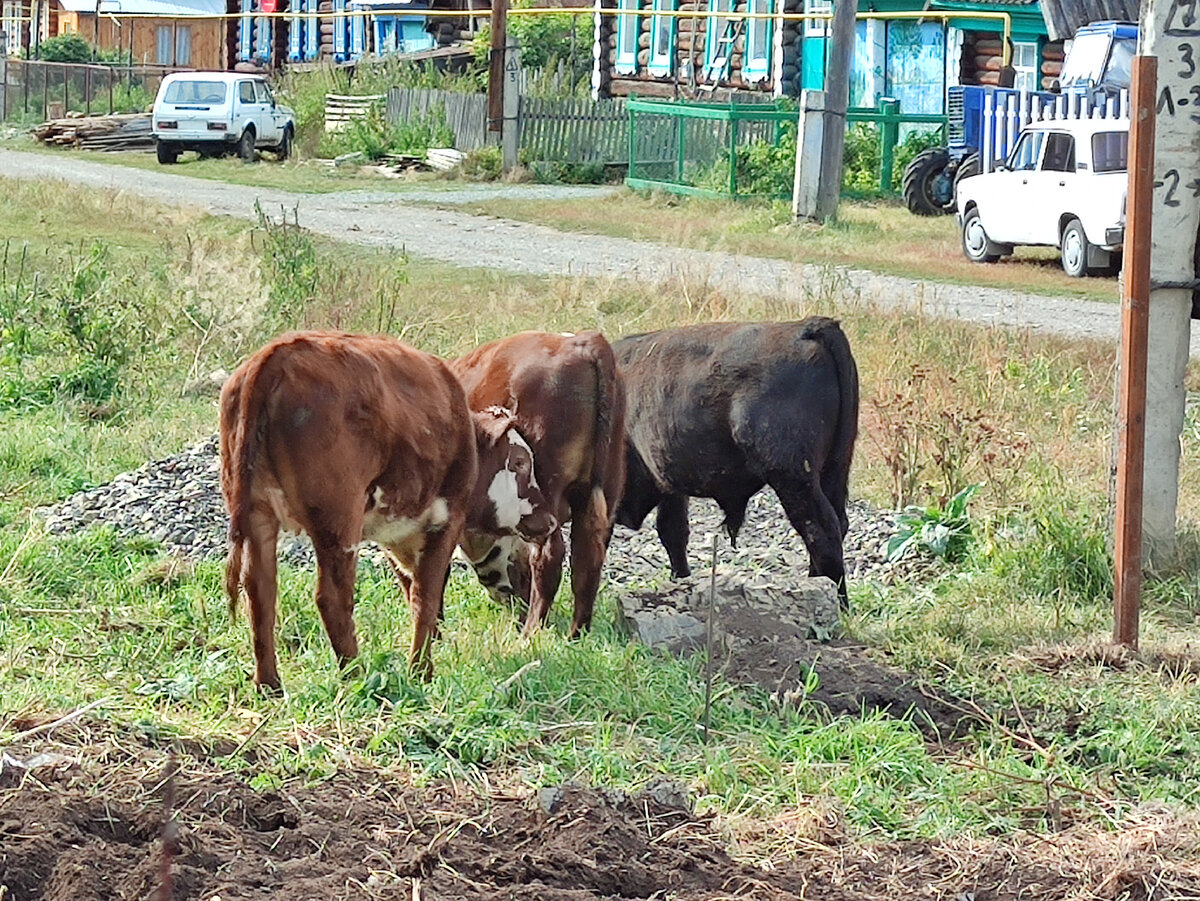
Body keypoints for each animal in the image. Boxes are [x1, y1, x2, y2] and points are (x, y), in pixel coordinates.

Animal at [218, 331, 554, 691]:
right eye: (519, 462)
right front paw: (421, 671)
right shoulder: (446, 520)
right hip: (338, 519)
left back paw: (270, 685)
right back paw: (356, 675)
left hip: (257, 512)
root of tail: (278, 352)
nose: (549, 519)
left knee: (260, 592)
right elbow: (426, 595)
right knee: (331, 599)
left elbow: (411, 589)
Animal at [451, 328, 628, 633]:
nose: (513, 604)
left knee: (549, 555)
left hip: (547, 490)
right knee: (587, 559)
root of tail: (583, 342)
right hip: (605, 486)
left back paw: (531, 631)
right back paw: (575, 634)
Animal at [614, 316, 859, 607]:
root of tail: (806, 328)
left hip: (794, 479)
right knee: (835, 526)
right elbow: (673, 532)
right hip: (832, 470)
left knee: (821, 532)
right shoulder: (668, 482)